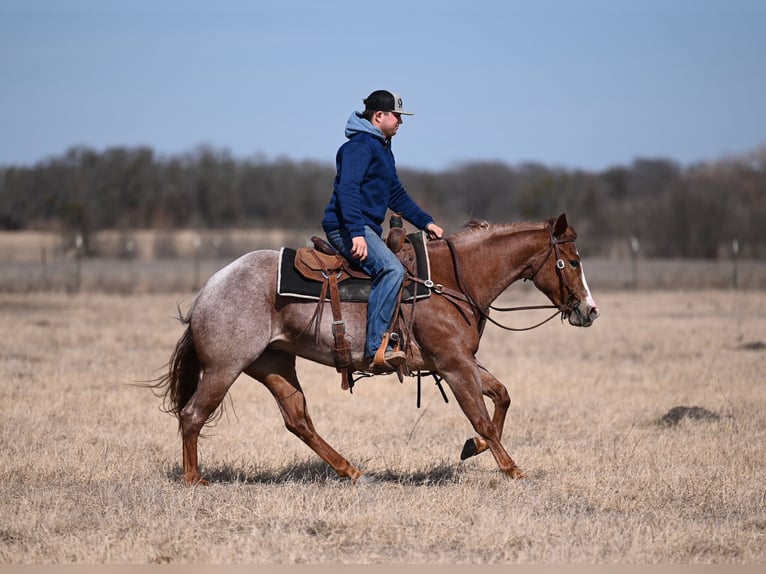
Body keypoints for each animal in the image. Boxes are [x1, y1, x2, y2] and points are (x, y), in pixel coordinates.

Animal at [151, 213, 599, 485]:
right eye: (574, 262)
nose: (590, 310)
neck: (452, 281)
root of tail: (210, 288)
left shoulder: (463, 362)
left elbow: (501, 397)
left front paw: (474, 449)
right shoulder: (455, 365)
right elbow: (483, 418)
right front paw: (511, 468)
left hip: (274, 364)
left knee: (298, 420)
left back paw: (351, 471)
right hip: (224, 367)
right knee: (193, 415)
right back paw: (195, 479)